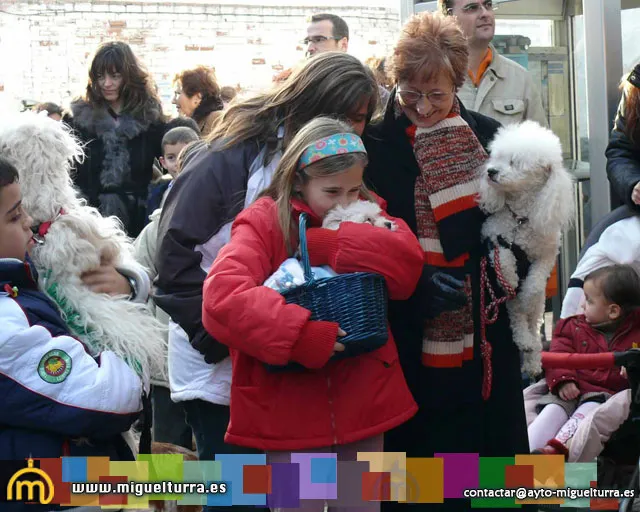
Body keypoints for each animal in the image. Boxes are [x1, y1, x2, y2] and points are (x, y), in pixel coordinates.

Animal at [480, 120, 576, 376]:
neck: (520, 219)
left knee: (532, 323)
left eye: (514, 162)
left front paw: (524, 290)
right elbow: (504, 259)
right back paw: (524, 341)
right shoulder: (494, 237)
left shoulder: (546, 255)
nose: (491, 171)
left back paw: (532, 357)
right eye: (497, 157)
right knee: (517, 318)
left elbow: (533, 284)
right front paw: (511, 279)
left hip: (539, 308)